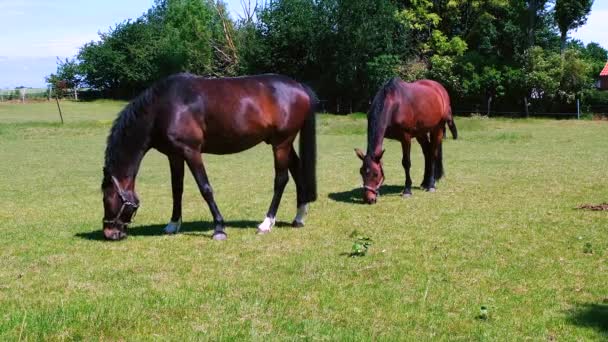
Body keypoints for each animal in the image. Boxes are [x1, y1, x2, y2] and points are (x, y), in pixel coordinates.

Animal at [100, 73, 318, 240]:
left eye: (106, 198)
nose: (109, 233)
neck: (164, 108)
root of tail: (299, 86)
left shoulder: (191, 151)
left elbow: (205, 188)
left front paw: (219, 228)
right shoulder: (174, 155)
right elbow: (176, 189)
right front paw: (173, 224)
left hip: (281, 143)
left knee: (281, 179)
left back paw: (266, 223)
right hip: (283, 143)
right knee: (298, 171)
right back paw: (299, 218)